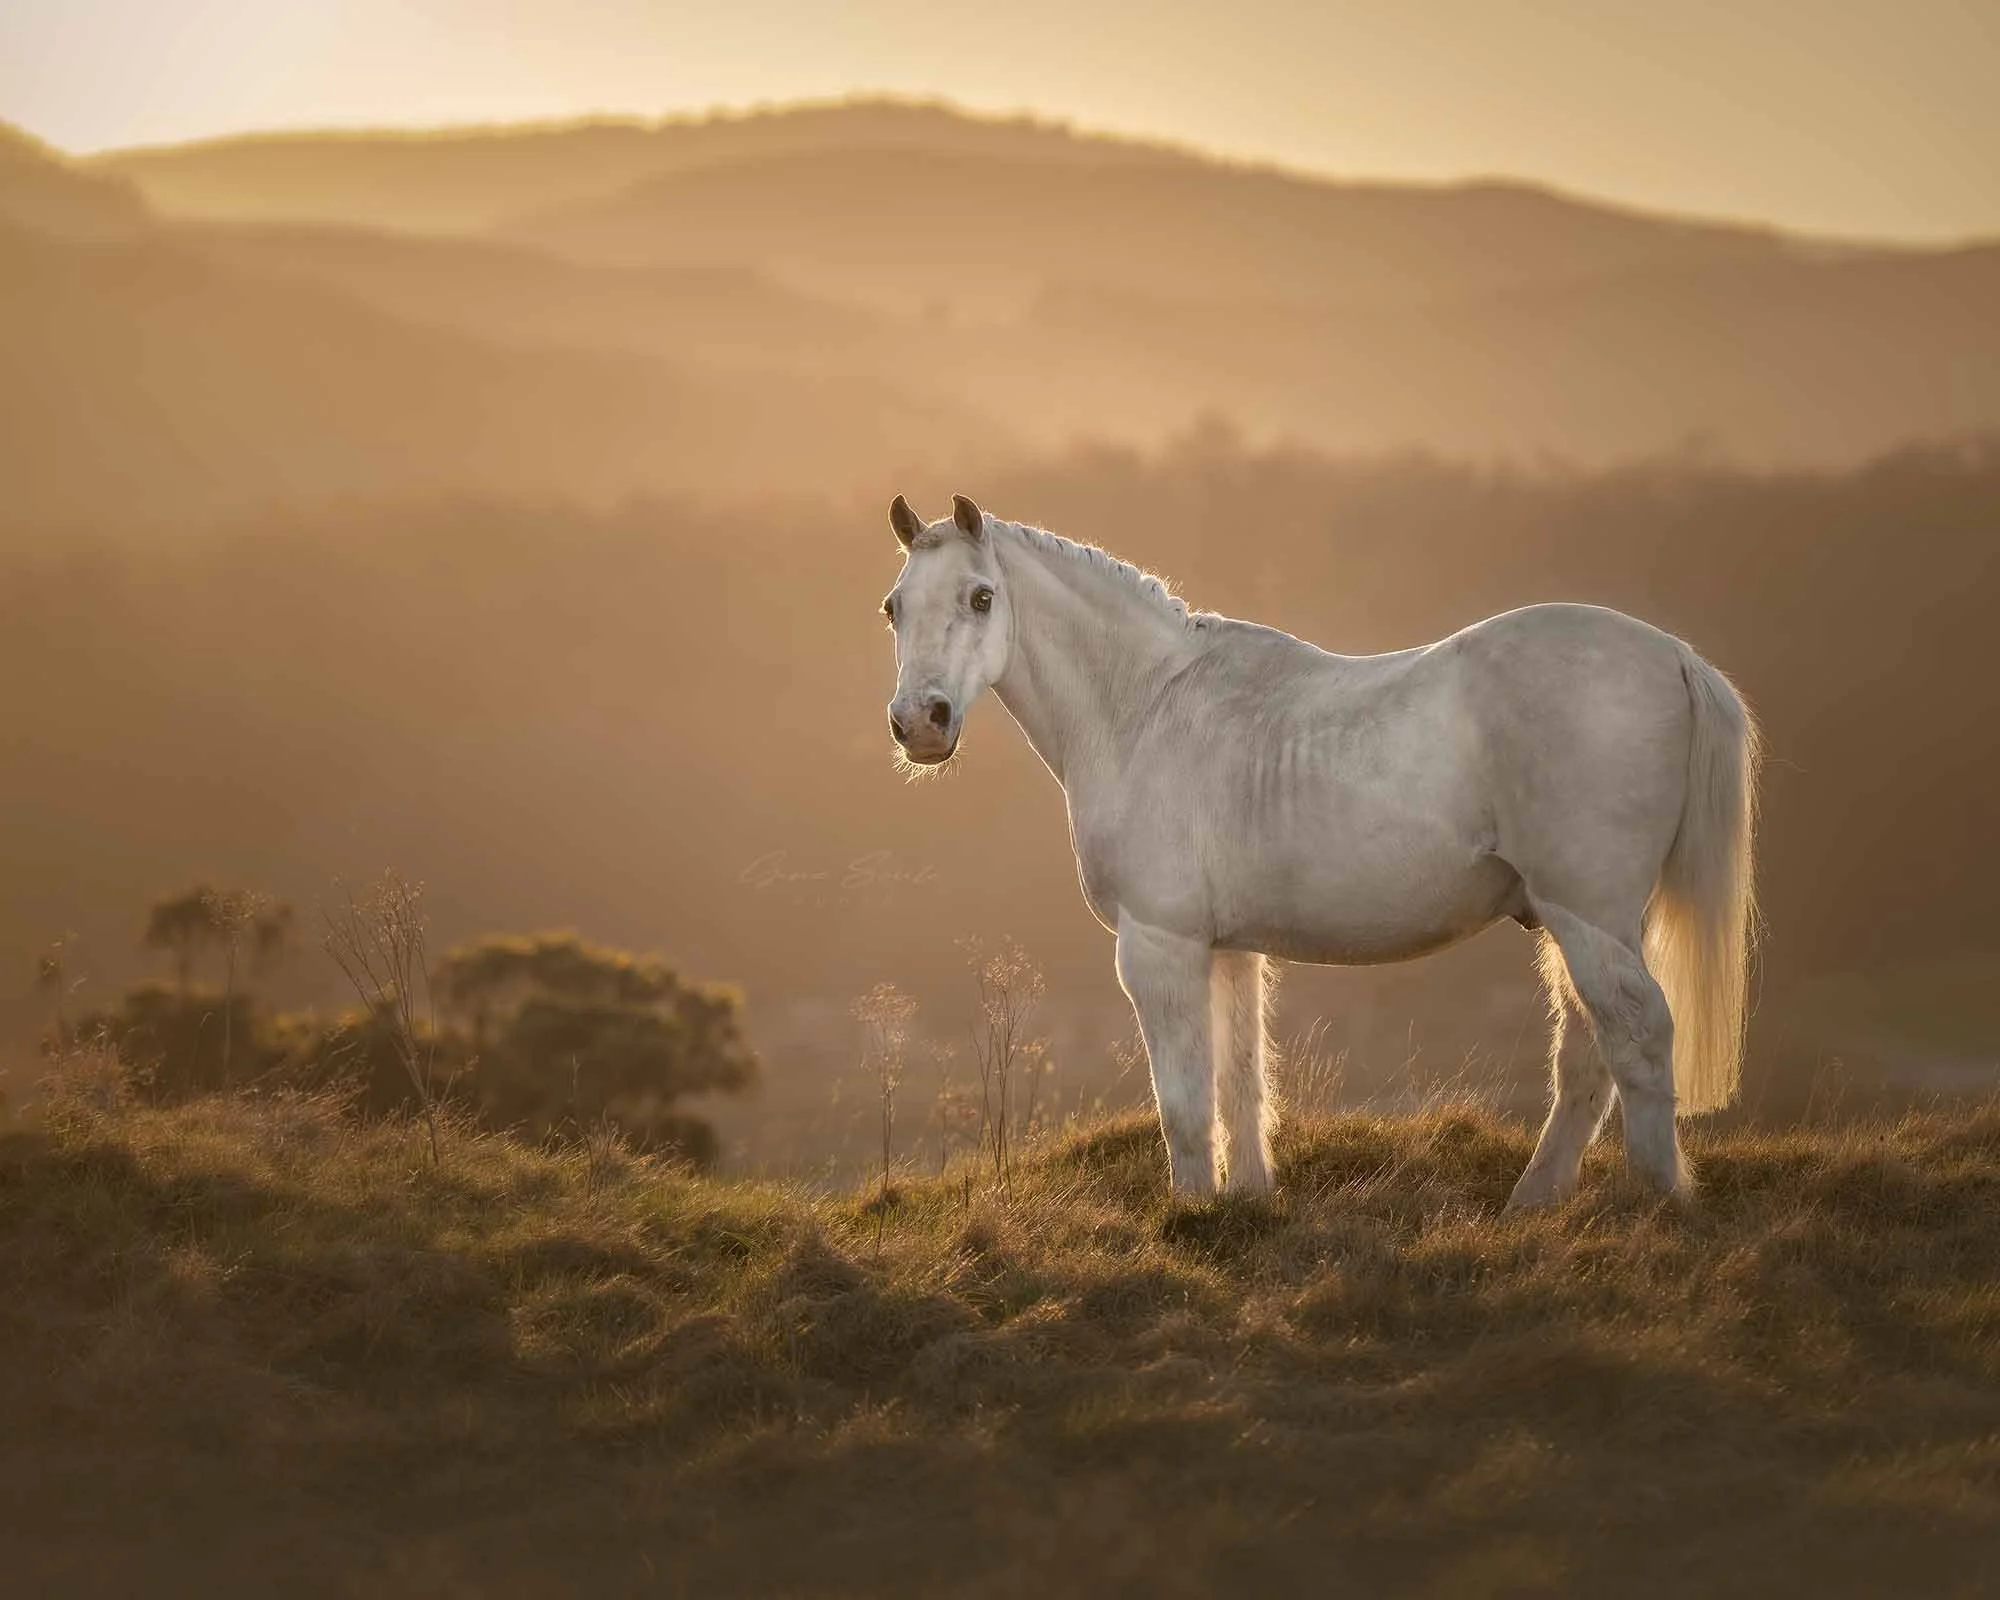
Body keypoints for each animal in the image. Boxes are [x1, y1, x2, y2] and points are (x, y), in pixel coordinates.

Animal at [877, 494, 1760, 1206]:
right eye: (893, 606)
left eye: (981, 597)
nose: (921, 721)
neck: (1147, 709)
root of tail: (1674, 657)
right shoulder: (1228, 949)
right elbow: (1240, 1081)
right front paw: (1245, 1202)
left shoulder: (1158, 945)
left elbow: (1185, 1103)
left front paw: (1189, 1211)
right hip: (1581, 924)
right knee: (1587, 1054)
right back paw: (1535, 1200)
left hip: (1587, 917)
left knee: (1638, 1034)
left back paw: (1652, 1198)